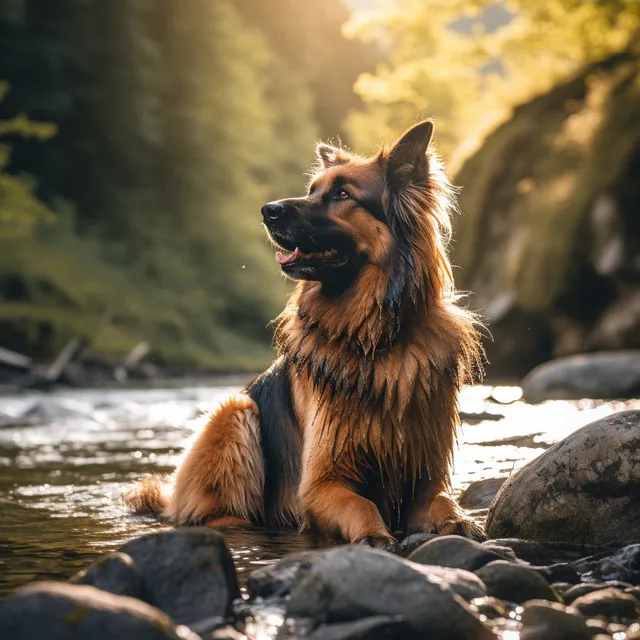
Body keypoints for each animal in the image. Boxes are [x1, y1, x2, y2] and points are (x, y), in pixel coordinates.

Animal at [124, 121, 484, 552]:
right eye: (313, 190)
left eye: (342, 194)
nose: (267, 210)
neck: (374, 336)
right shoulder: (320, 484)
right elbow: (360, 504)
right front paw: (373, 535)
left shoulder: (424, 477)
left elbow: (444, 500)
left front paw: (460, 521)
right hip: (236, 411)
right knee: (215, 511)